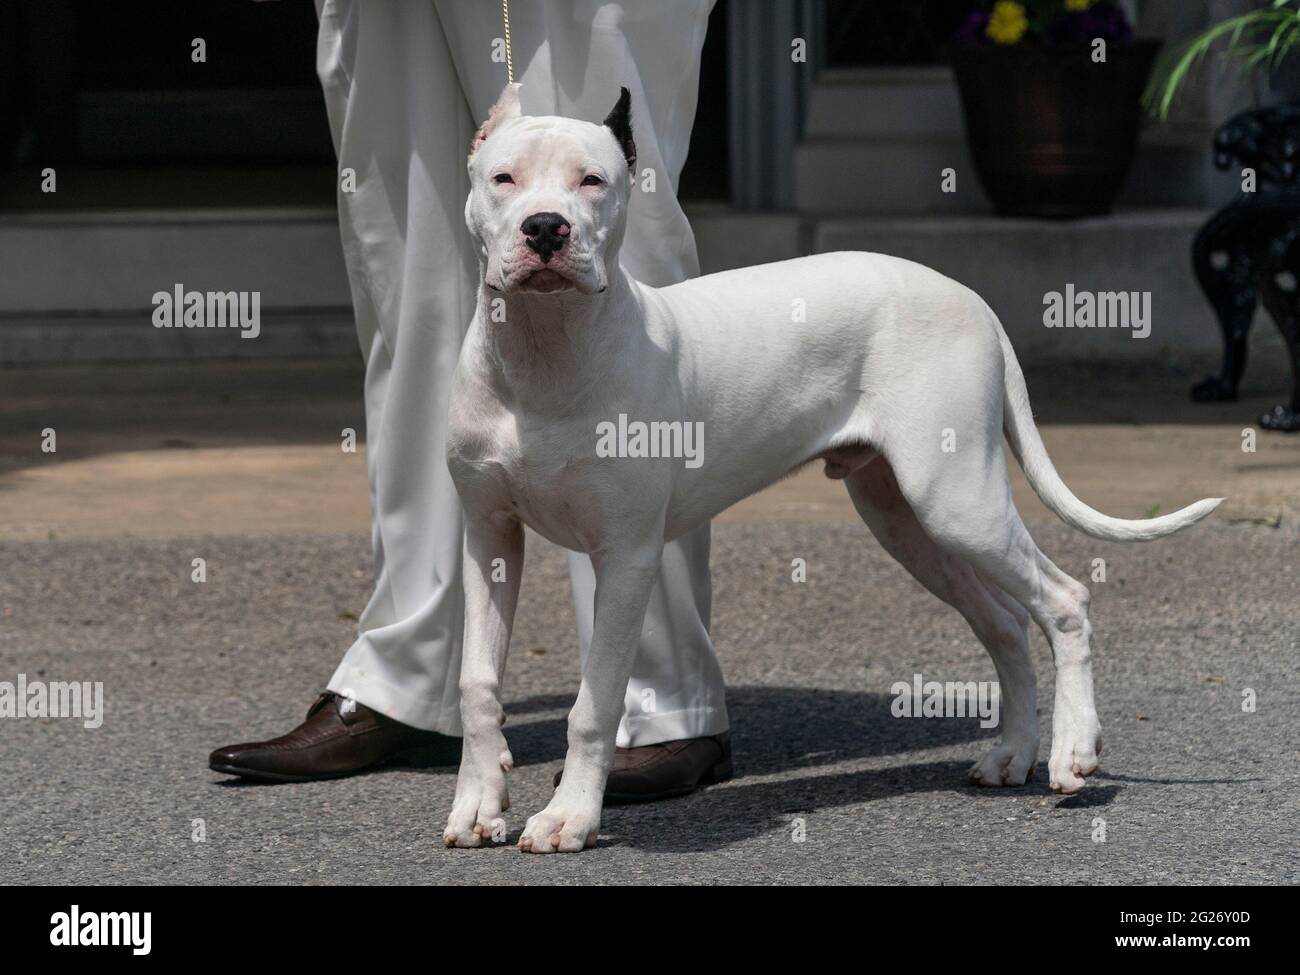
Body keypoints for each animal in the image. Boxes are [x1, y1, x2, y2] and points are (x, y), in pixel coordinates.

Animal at [441, 85, 1222, 852]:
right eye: (503, 178)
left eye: (592, 181)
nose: (546, 229)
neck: (543, 352)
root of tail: (971, 298)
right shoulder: (489, 538)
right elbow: (477, 682)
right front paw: (478, 804)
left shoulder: (627, 554)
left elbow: (594, 704)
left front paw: (570, 816)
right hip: (903, 519)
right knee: (1004, 621)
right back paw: (1013, 753)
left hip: (957, 503)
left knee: (1063, 599)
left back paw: (1072, 753)